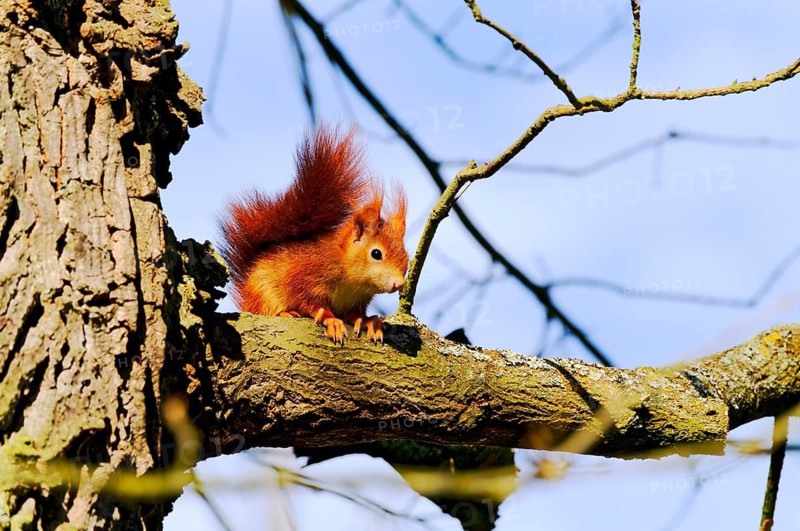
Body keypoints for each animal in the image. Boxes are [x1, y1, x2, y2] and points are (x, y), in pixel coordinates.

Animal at [219, 126, 408, 344]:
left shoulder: (359, 299)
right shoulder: (305, 275)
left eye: (406, 257)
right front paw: (331, 320)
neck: (352, 281)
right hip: (263, 293)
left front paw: (368, 321)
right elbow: (310, 302)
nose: (399, 283)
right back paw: (285, 313)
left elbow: (355, 313)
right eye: (376, 254)